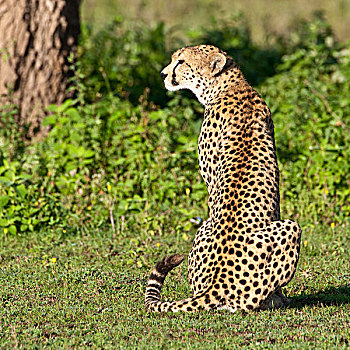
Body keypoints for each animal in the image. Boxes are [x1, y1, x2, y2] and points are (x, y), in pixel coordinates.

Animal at [145, 44, 300, 312]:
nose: (163, 74)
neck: (232, 85)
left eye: (181, 62)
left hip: (287, 227)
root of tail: (217, 284)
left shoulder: (210, 181)